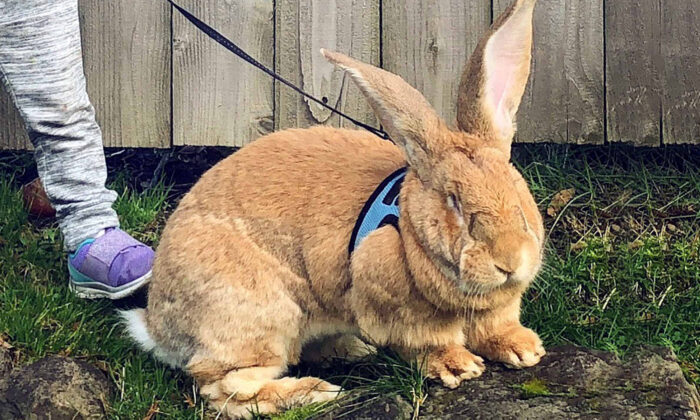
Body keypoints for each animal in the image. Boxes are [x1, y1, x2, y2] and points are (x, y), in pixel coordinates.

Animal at [121, 0, 543, 417]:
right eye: (454, 200)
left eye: (513, 184)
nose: (509, 261)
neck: (408, 230)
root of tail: (158, 327)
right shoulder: (399, 309)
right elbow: (427, 343)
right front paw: (459, 366)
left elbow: (495, 328)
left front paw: (524, 350)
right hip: (262, 319)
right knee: (226, 388)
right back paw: (316, 392)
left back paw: (353, 349)